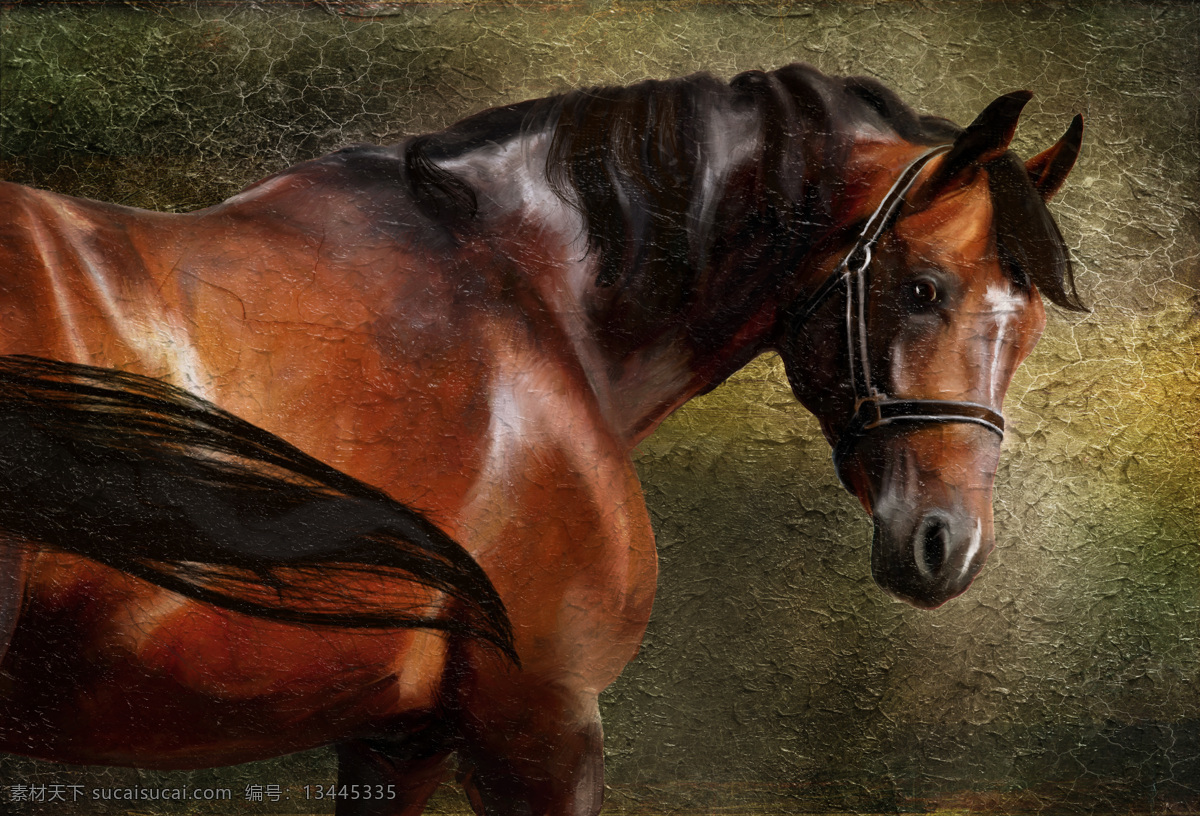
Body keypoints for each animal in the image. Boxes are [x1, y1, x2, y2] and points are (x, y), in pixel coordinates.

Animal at [0, 64, 1083, 815]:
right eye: (924, 289)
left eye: (1027, 324)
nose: (948, 545)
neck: (524, 297)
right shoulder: (537, 723)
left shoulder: (397, 738)